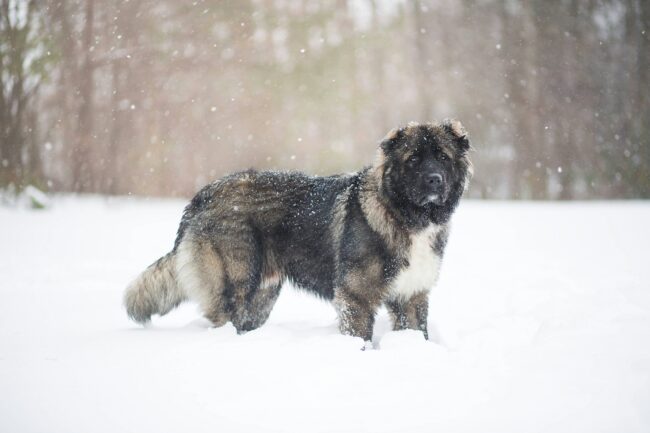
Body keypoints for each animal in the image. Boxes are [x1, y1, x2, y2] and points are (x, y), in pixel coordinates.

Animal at [124, 120, 474, 342]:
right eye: (413, 159)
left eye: (442, 157)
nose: (434, 180)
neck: (404, 215)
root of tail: (202, 195)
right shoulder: (355, 297)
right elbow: (360, 337)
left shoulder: (412, 295)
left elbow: (418, 332)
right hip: (236, 284)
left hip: (263, 296)